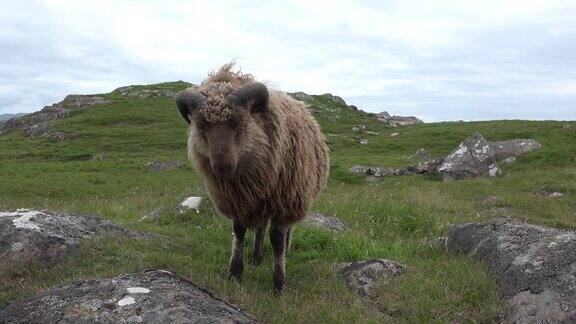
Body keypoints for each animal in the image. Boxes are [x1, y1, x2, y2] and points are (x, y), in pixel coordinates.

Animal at [174, 64, 328, 294]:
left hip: (295, 196)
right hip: (261, 202)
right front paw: (235, 272)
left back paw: (285, 251)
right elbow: (239, 231)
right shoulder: (239, 200)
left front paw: (279, 284)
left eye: (239, 124)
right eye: (201, 128)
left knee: (286, 230)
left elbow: (277, 239)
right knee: (260, 227)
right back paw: (256, 257)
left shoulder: (284, 203)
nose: (222, 167)